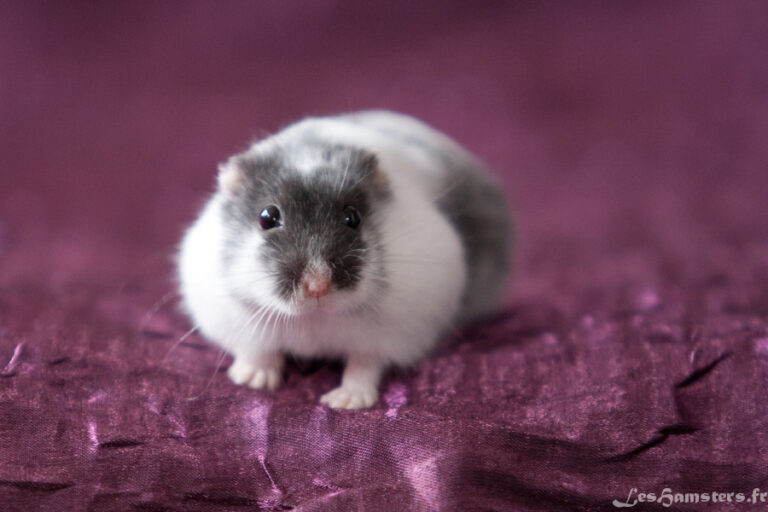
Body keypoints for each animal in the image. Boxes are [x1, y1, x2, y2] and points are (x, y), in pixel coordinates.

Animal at [177, 110, 510, 409]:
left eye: (353, 217)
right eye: (267, 217)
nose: (317, 287)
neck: (314, 318)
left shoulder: (392, 334)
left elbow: (364, 365)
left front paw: (344, 403)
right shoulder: (235, 320)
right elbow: (257, 351)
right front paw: (252, 381)